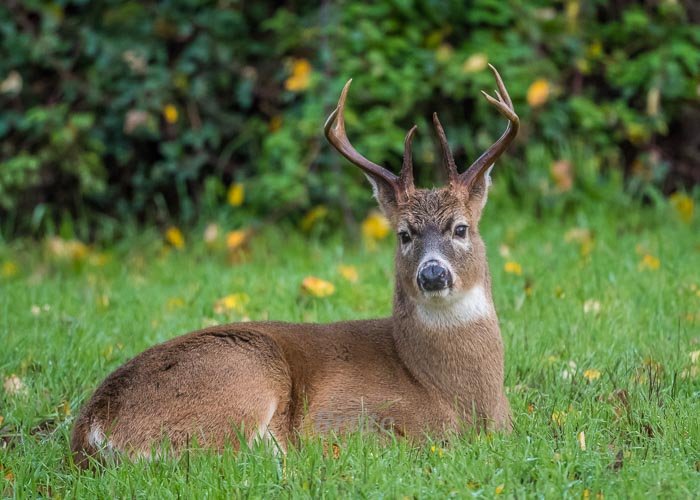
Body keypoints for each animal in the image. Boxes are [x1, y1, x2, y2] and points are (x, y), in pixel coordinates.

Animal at [71, 64, 520, 466]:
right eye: (404, 235)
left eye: (460, 228)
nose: (432, 273)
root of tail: (92, 427)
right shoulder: (352, 414)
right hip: (245, 371)